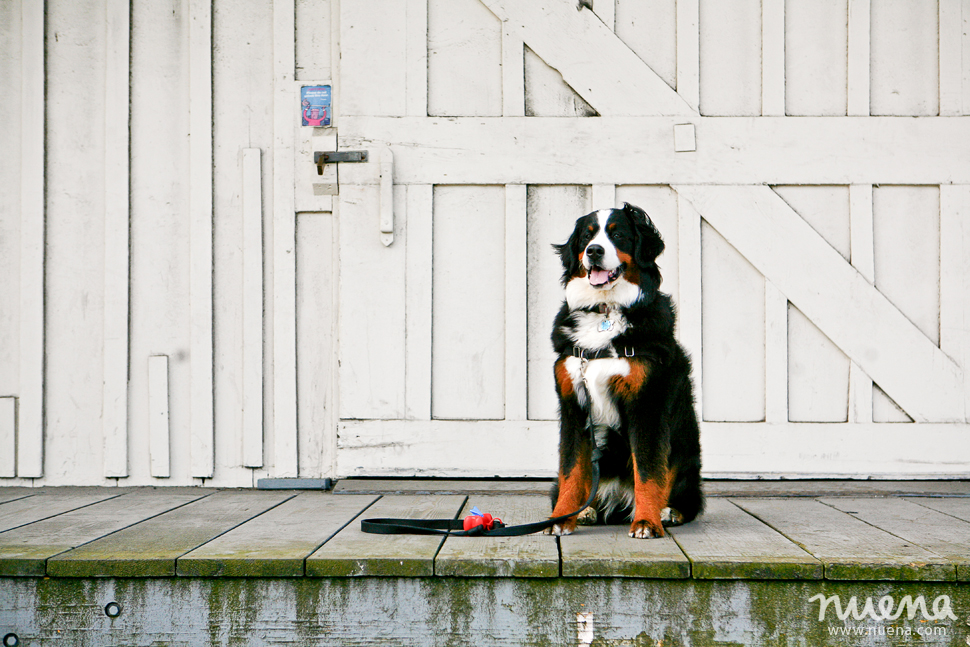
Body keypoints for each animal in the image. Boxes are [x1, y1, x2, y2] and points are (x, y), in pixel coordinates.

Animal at [544, 205, 704, 540]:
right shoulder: (573, 407)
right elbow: (571, 471)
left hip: (685, 457)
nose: (594, 251)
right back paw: (587, 511)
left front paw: (646, 522)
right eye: (587, 235)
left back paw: (667, 512)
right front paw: (560, 519)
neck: (604, 311)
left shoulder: (647, 405)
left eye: (618, 235)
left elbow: (648, 470)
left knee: (685, 496)